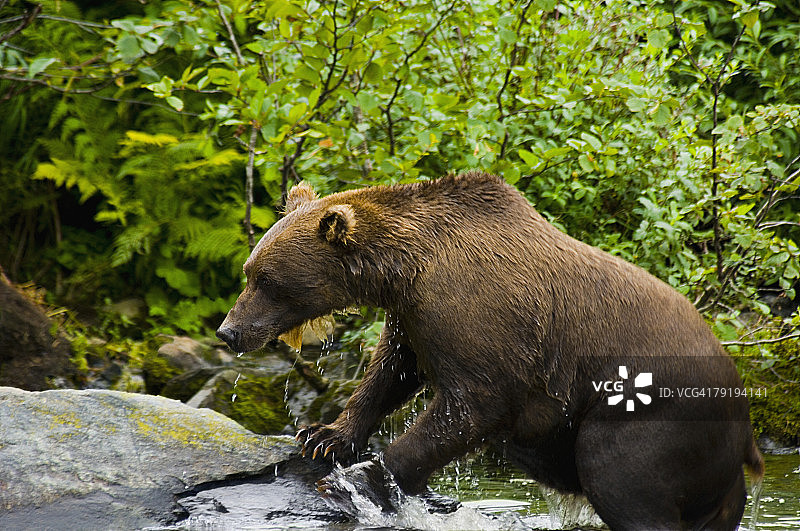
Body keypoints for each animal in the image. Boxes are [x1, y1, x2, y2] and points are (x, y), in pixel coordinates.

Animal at [217, 171, 764, 530]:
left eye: (267, 281)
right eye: (249, 271)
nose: (229, 332)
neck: (405, 269)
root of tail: (744, 419)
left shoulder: (478, 318)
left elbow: (470, 407)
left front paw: (359, 479)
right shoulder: (412, 316)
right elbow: (390, 372)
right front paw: (324, 436)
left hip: (653, 415)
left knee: (623, 479)